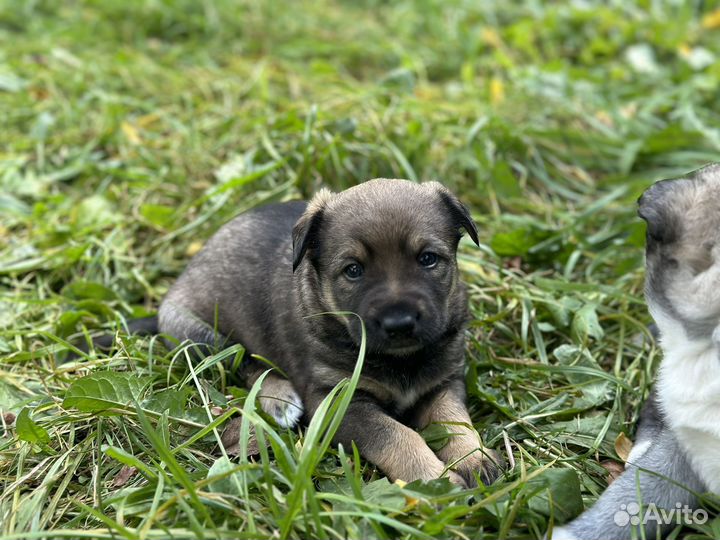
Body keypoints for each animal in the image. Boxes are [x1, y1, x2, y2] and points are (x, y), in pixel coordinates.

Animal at [160, 179, 504, 488]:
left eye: (428, 259)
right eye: (353, 270)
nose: (400, 323)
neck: (400, 360)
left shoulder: (444, 382)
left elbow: (453, 419)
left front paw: (474, 457)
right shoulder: (339, 401)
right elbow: (396, 435)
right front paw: (434, 478)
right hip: (201, 336)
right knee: (247, 363)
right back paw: (279, 398)